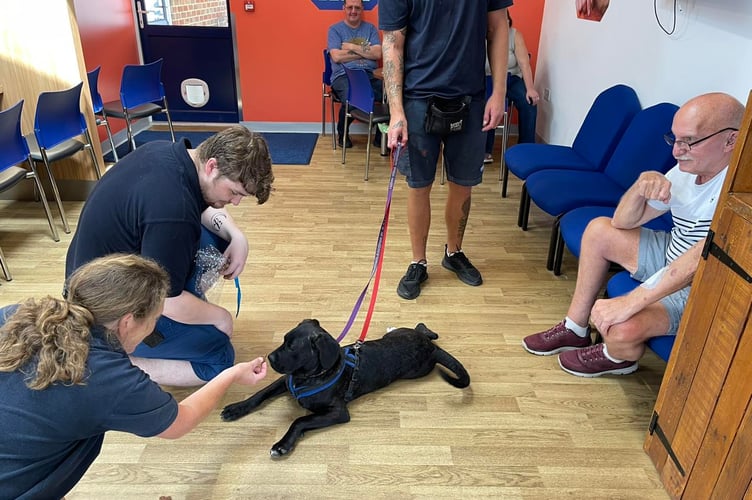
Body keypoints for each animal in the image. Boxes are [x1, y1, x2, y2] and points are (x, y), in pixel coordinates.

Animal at [220, 320, 470, 458]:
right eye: (284, 340)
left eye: (292, 347)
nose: (270, 358)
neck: (311, 376)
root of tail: (433, 349)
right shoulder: (285, 381)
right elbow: (260, 394)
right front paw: (236, 408)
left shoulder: (338, 412)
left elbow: (299, 420)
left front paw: (282, 445)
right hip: (404, 335)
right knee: (425, 330)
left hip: (418, 369)